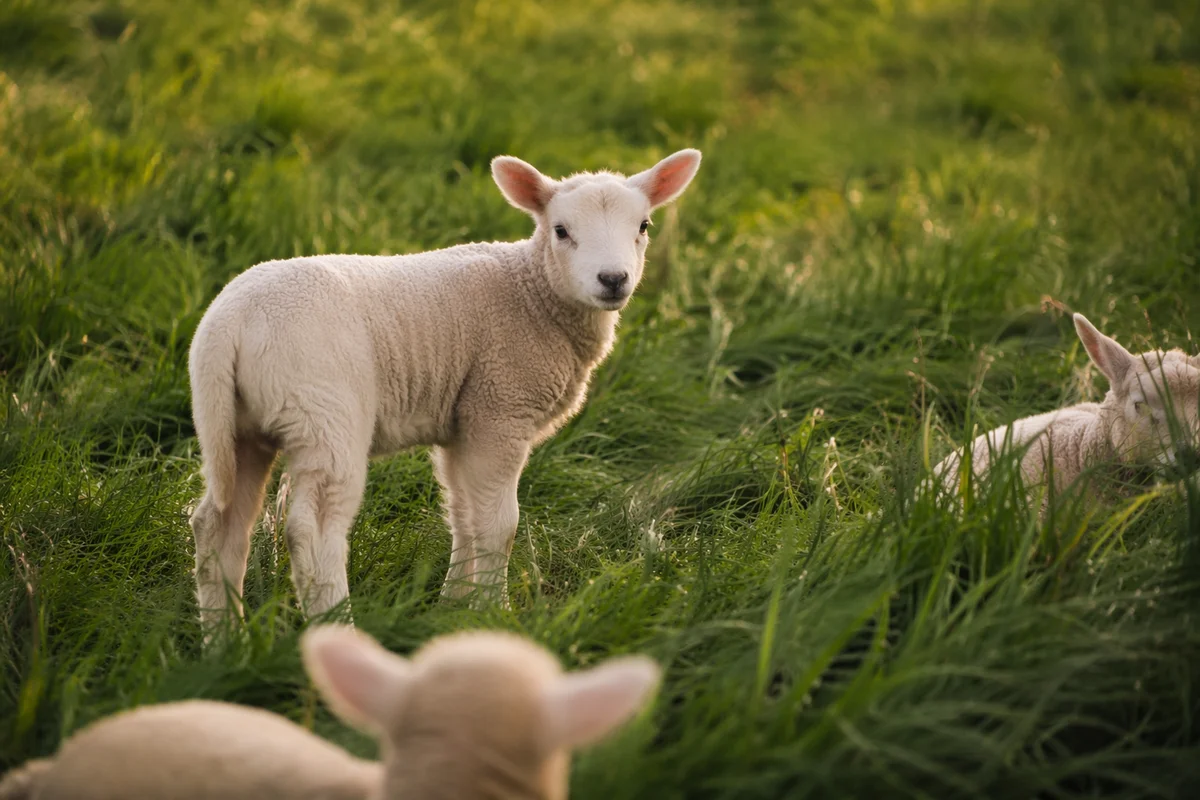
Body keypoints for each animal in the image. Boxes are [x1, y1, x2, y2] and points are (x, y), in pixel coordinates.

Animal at [187, 149, 702, 625]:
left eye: (644, 225)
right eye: (560, 230)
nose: (613, 280)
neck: (533, 293)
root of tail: (228, 324)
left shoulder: (464, 419)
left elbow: (463, 518)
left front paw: (453, 607)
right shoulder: (501, 407)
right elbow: (498, 525)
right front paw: (495, 613)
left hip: (234, 426)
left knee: (219, 524)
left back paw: (224, 638)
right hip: (324, 411)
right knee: (311, 531)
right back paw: (337, 628)